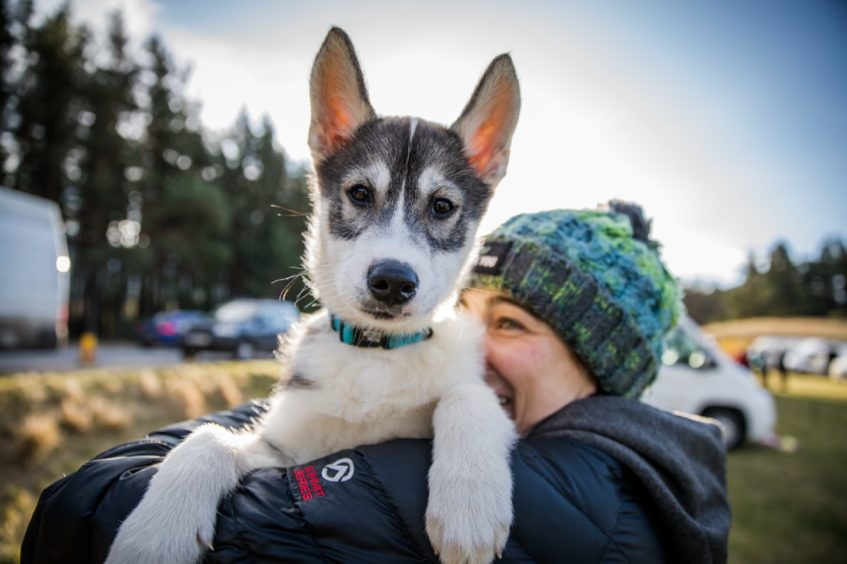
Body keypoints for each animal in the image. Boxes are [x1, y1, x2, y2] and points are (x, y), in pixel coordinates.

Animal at [103, 26, 520, 564]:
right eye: (360, 193)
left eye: (443, 206)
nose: (392, 280)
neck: (375, 354)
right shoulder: (285, 450)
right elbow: (210, 439)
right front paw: (156, 531)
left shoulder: (469, 387)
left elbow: (467, 394)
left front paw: (469, 507)